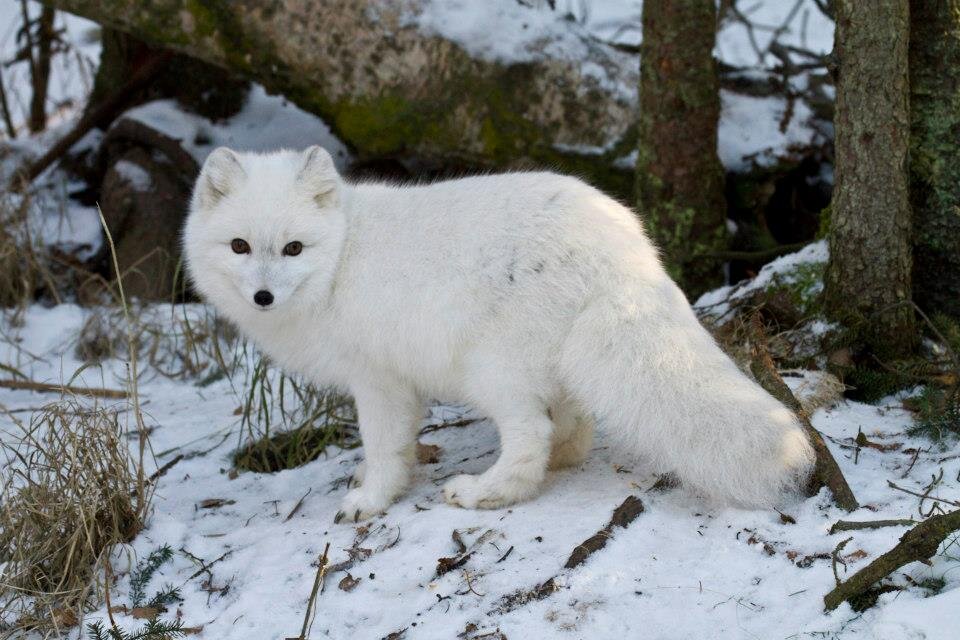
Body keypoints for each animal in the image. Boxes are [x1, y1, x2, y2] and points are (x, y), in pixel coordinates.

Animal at [184, 144, 812, 520]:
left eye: (293, 248)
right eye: (240, 246)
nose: (263, 297)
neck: (341, 258)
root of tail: (626, 249)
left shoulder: (380, 382)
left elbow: (384, 447)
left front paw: (371, 499)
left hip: (491, 371)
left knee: (533, 433)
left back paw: (488, 491)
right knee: (573, 428)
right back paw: (557, 462)